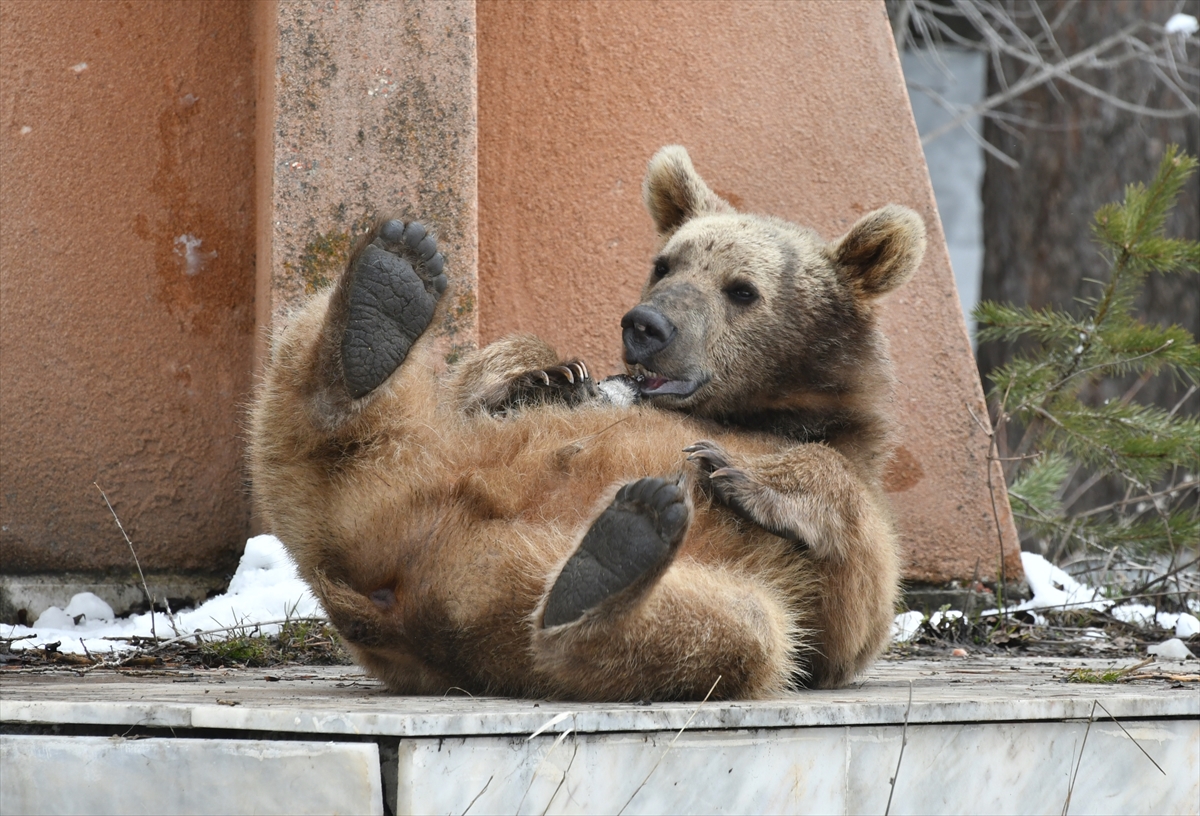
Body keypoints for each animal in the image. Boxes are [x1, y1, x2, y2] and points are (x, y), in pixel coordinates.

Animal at [246, 146, 926, 700]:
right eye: (664, 264)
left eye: (741, 289)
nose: (646, 325)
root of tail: (395, 585)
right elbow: (493, 371)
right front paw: (544, 378)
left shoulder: (836, 565)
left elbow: (856, 578)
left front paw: (732, 469)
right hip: (391, 462)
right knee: (312, 398)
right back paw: (385, 295)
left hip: (504, 598)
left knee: (738, 632)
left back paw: (613, 558)